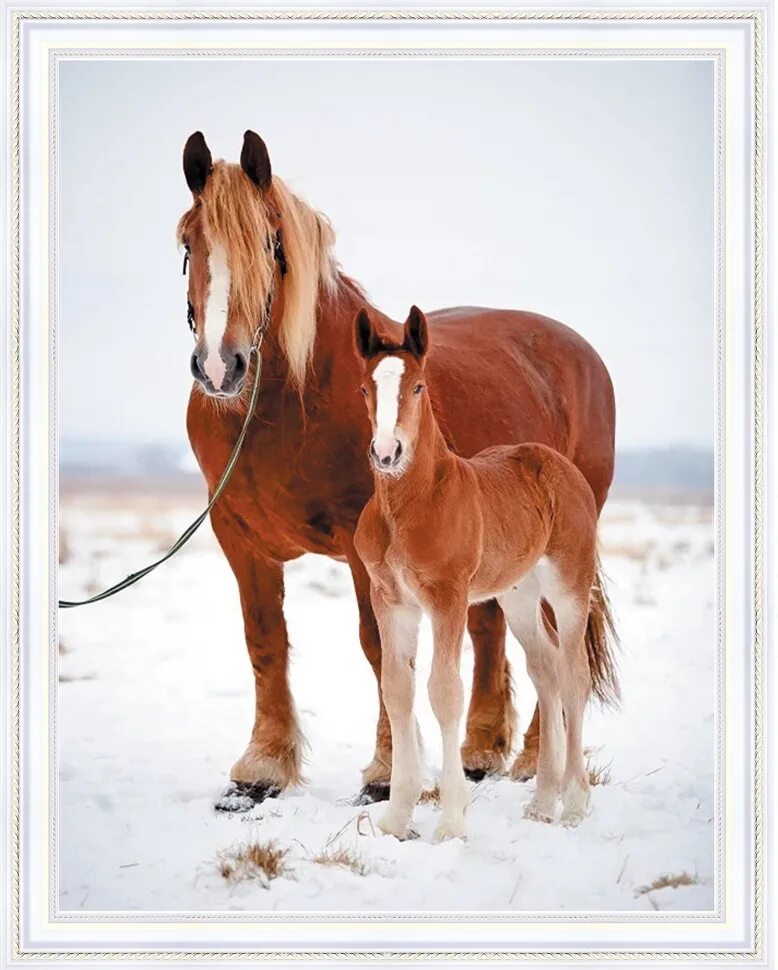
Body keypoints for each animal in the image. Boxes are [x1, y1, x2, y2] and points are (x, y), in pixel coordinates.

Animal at [354, 304, 616, 840]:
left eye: (418, 387)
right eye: (366, 389)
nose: (387, 453)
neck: (410, 506)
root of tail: (556, 463)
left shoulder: (447, 598)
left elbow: (444, 691)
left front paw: (451, 820)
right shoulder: (391, 600)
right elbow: (397, 690)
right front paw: (396, 817)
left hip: (568, 586)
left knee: (574, 674)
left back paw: (575, 804)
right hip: (518, 595)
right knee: (546, 668)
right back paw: (542, 802)